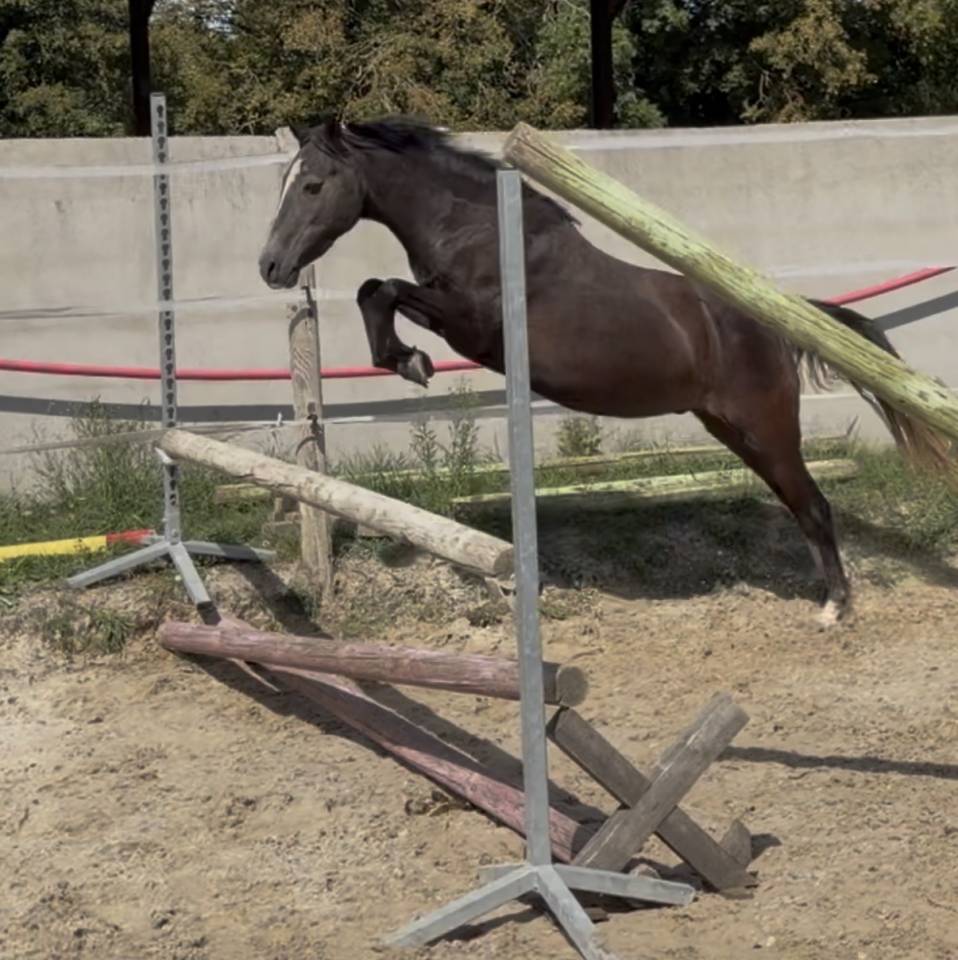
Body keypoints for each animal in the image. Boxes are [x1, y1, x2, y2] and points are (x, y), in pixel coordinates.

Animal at [258, 116, 953, 628]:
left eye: (313, 185)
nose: (271, 266)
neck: (480, 231)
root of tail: (778, 321)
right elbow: (373, 290)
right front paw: (405, 361)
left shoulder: (471, 323)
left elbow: (380, 289)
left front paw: (411, 362)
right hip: (736, 432)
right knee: (800, 505)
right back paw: (826, 597)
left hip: (769, 429)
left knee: (815, 506)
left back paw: (836, 608)